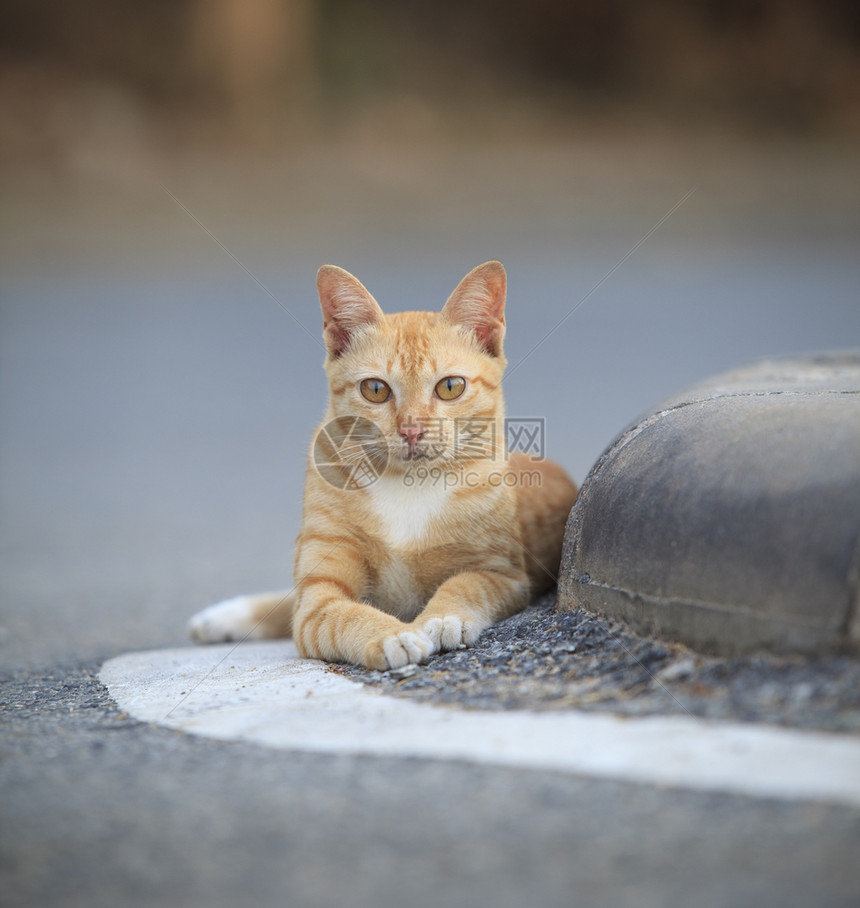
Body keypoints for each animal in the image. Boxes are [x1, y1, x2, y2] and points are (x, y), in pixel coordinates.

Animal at [188, 258, 576, 672]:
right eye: (375, 390)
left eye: (450, 387)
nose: (411, 430)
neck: (408, 485)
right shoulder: (318, 598)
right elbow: (344, 614)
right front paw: (392, 634)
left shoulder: (503, 573)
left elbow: (464, 584)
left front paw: (443, 618)